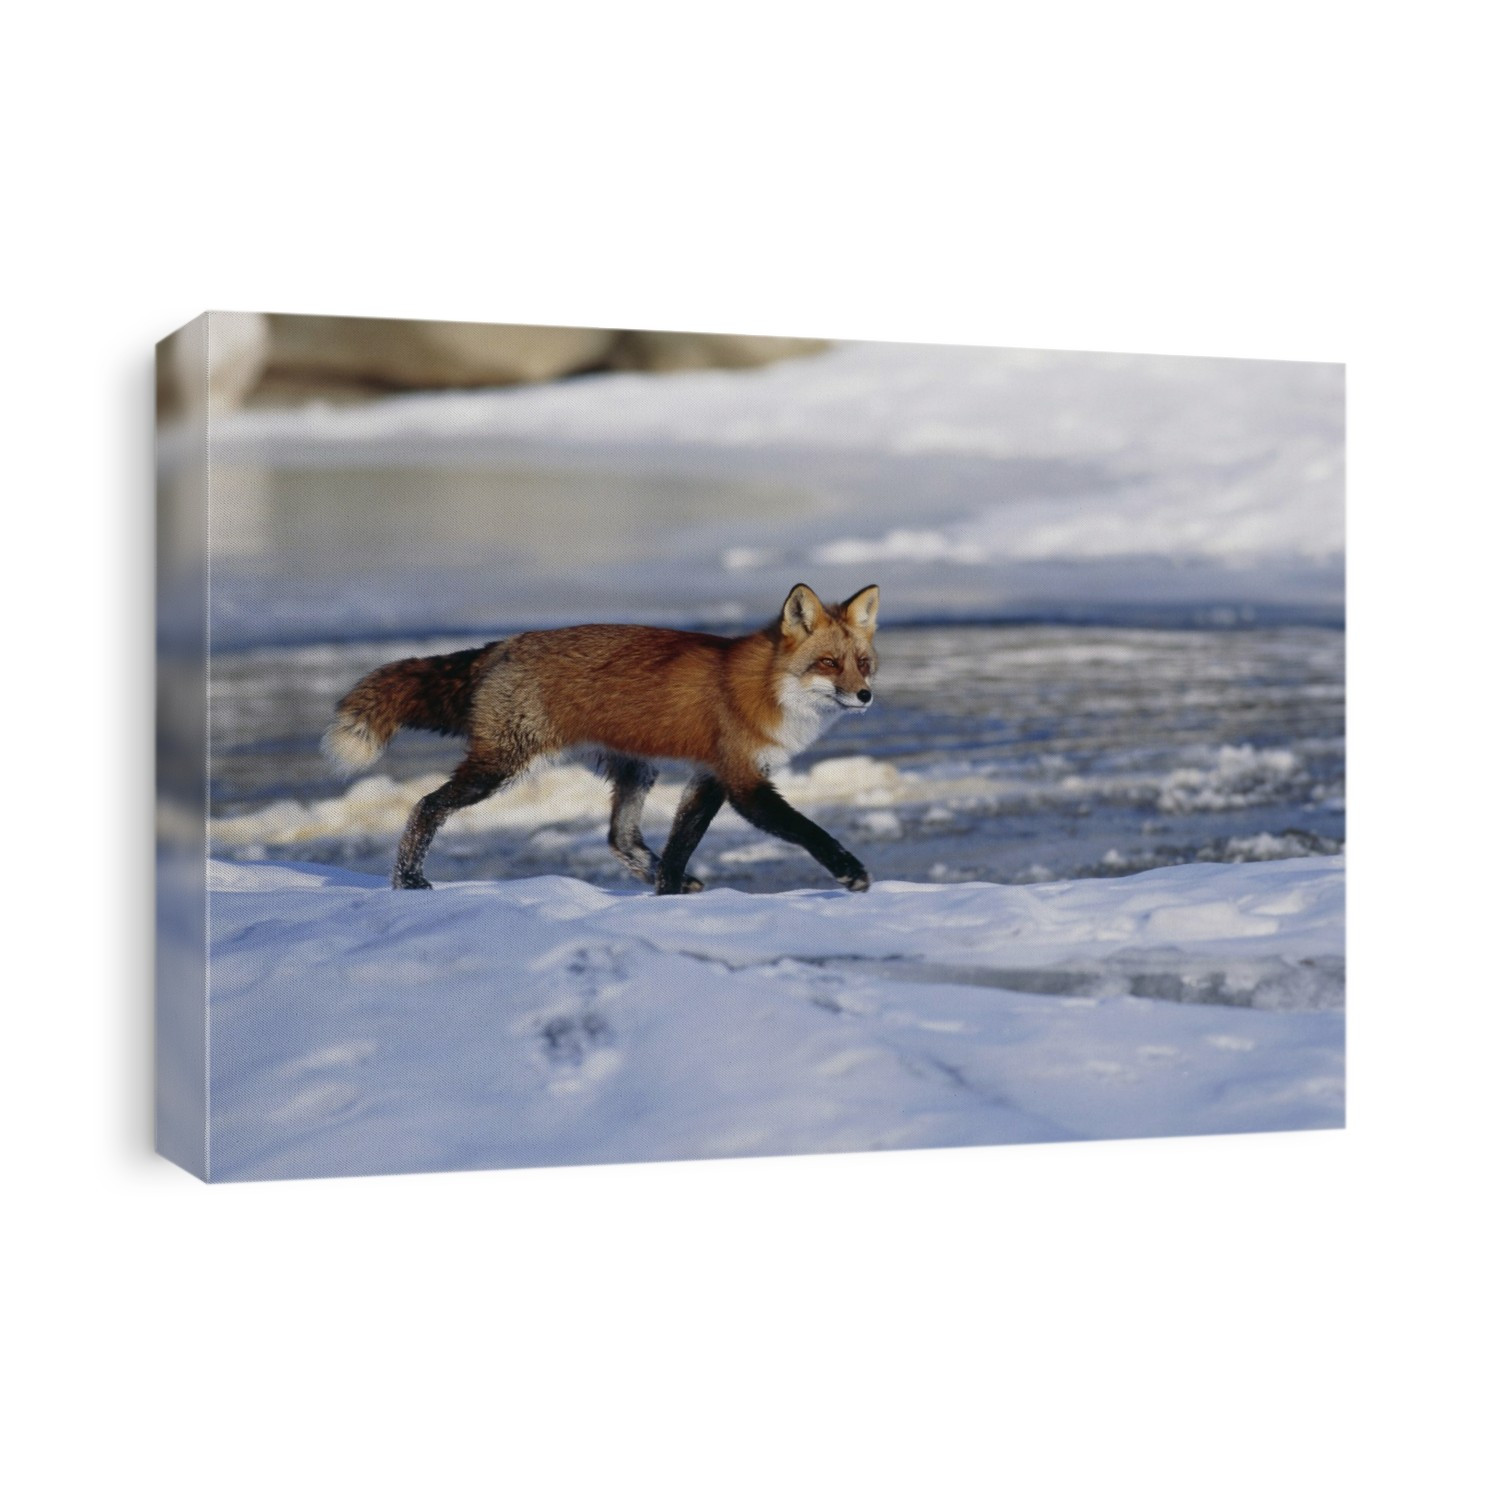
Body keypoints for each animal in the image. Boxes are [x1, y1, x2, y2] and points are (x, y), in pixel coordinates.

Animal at [322, 583, 881, 895]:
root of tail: (505, 644)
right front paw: (849, 871)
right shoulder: (743, 781)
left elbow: (679, 845)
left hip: (636, 769)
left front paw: (668, 895)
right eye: (828, 663)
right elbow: (809, 831)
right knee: (425, 806)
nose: (866, 696)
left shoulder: (710, 776)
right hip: (501, 767)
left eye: (863, 663)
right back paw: (408, 881)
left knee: (620, 838)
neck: (766, 686)